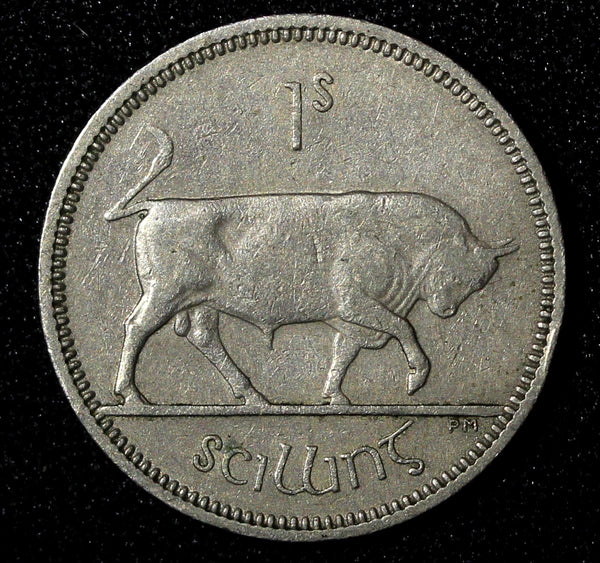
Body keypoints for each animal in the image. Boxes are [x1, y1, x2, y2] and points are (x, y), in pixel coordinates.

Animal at [106, 127, 518, 407]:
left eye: (482, 282)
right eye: (465, 272)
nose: (448, 311)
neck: (394, 234)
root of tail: (156, 206)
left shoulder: (350, 315)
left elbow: (345, 352)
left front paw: (336, 396)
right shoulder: (356, 302)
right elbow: (403, 326)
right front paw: (417, 376)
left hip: (204, 303)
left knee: (204, 337)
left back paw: (253, 395)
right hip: (165, 294)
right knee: (137, 326)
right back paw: (132, 395)